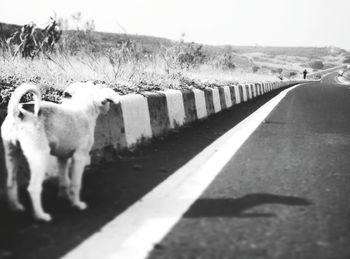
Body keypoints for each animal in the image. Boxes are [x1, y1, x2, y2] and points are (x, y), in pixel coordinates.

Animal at [1, 82, 120, 221]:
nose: (108, 108)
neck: (83, 110)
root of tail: (17, 112)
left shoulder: (62, 157)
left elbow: (64, 180)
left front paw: (65, 196)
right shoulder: (79, 157)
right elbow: (75, 184)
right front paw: (77, 204)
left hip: (12, 154)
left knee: (11, 183)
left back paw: (16, 207)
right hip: (39, 157)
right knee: (33, 188)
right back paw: (41, 215)